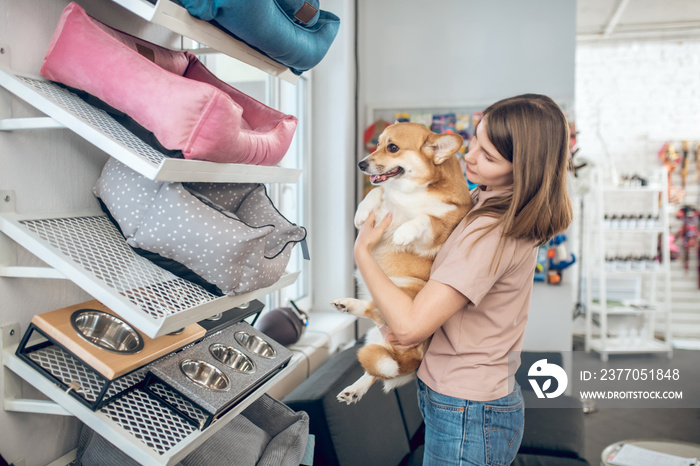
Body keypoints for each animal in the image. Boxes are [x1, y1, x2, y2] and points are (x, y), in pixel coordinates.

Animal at [330, 122, 474, 402]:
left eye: (393, 147)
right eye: (377, 144)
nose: (361, 164)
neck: (410, 193)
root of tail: (415, 357)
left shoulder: (437, 231)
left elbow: (424, 218)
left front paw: (403, 233)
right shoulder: (385, 198)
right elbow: (377, 192)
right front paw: (361, 213)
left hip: (404, 292)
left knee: (375, 314)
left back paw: (349, 305)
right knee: (379, 364)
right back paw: (354, 389)